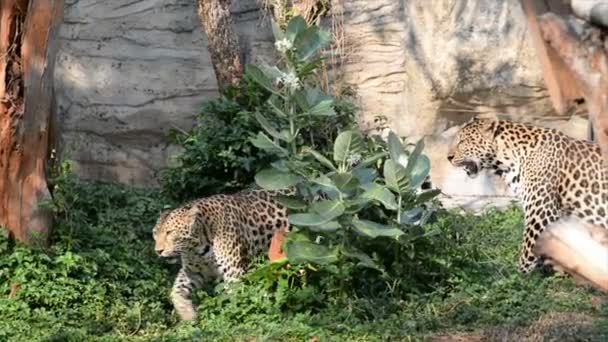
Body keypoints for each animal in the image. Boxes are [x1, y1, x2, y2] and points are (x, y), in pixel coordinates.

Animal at [152, 188, 290, 320]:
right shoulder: (192, 271)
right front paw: (187, 313)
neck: (199, 247)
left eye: (170, 232)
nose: (158, 251)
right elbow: (177, 289)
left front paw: (232, 315)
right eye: (154, 233)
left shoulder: (234, 271)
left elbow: (237, 297)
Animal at [446, 119, 608, 274]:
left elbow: (528, 251)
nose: (448, 157)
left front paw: (520, 275)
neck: (507, 161)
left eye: (463, 141)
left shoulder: (540, 213)